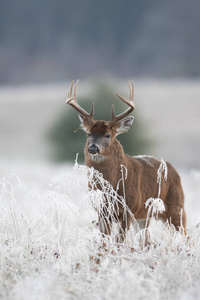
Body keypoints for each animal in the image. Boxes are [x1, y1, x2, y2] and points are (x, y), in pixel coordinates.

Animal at [66, 79, 187, 241]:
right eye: (88, 134)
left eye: (108, 135)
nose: (93, 148)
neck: (113, 182)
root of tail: (173, 169)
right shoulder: (102, 211)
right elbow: (104, 240)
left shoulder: (129, 208)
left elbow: (120, 241)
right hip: (145, 216)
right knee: (146, 241)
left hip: (176, 206)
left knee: (186, 236)